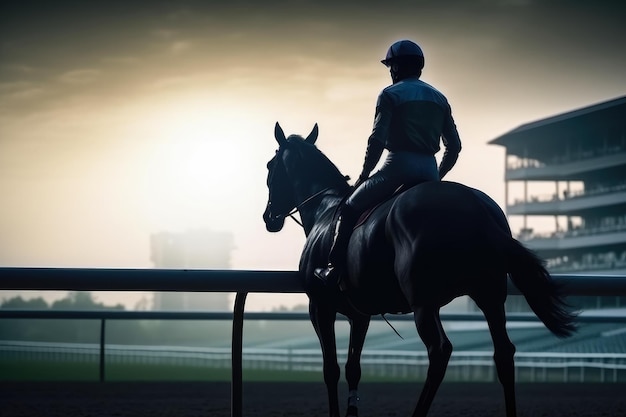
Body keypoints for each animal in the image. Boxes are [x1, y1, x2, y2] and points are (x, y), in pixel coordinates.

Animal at [260, 121, 576, 416]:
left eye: (269, 165)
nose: (268, 217)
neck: (325, 212)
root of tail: (475, 207)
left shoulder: (320, 307)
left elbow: (331, 370)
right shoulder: (359, 314)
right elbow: (353, 368)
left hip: (424, 302)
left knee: (440, 351)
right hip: (490, 294)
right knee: (504, 353)